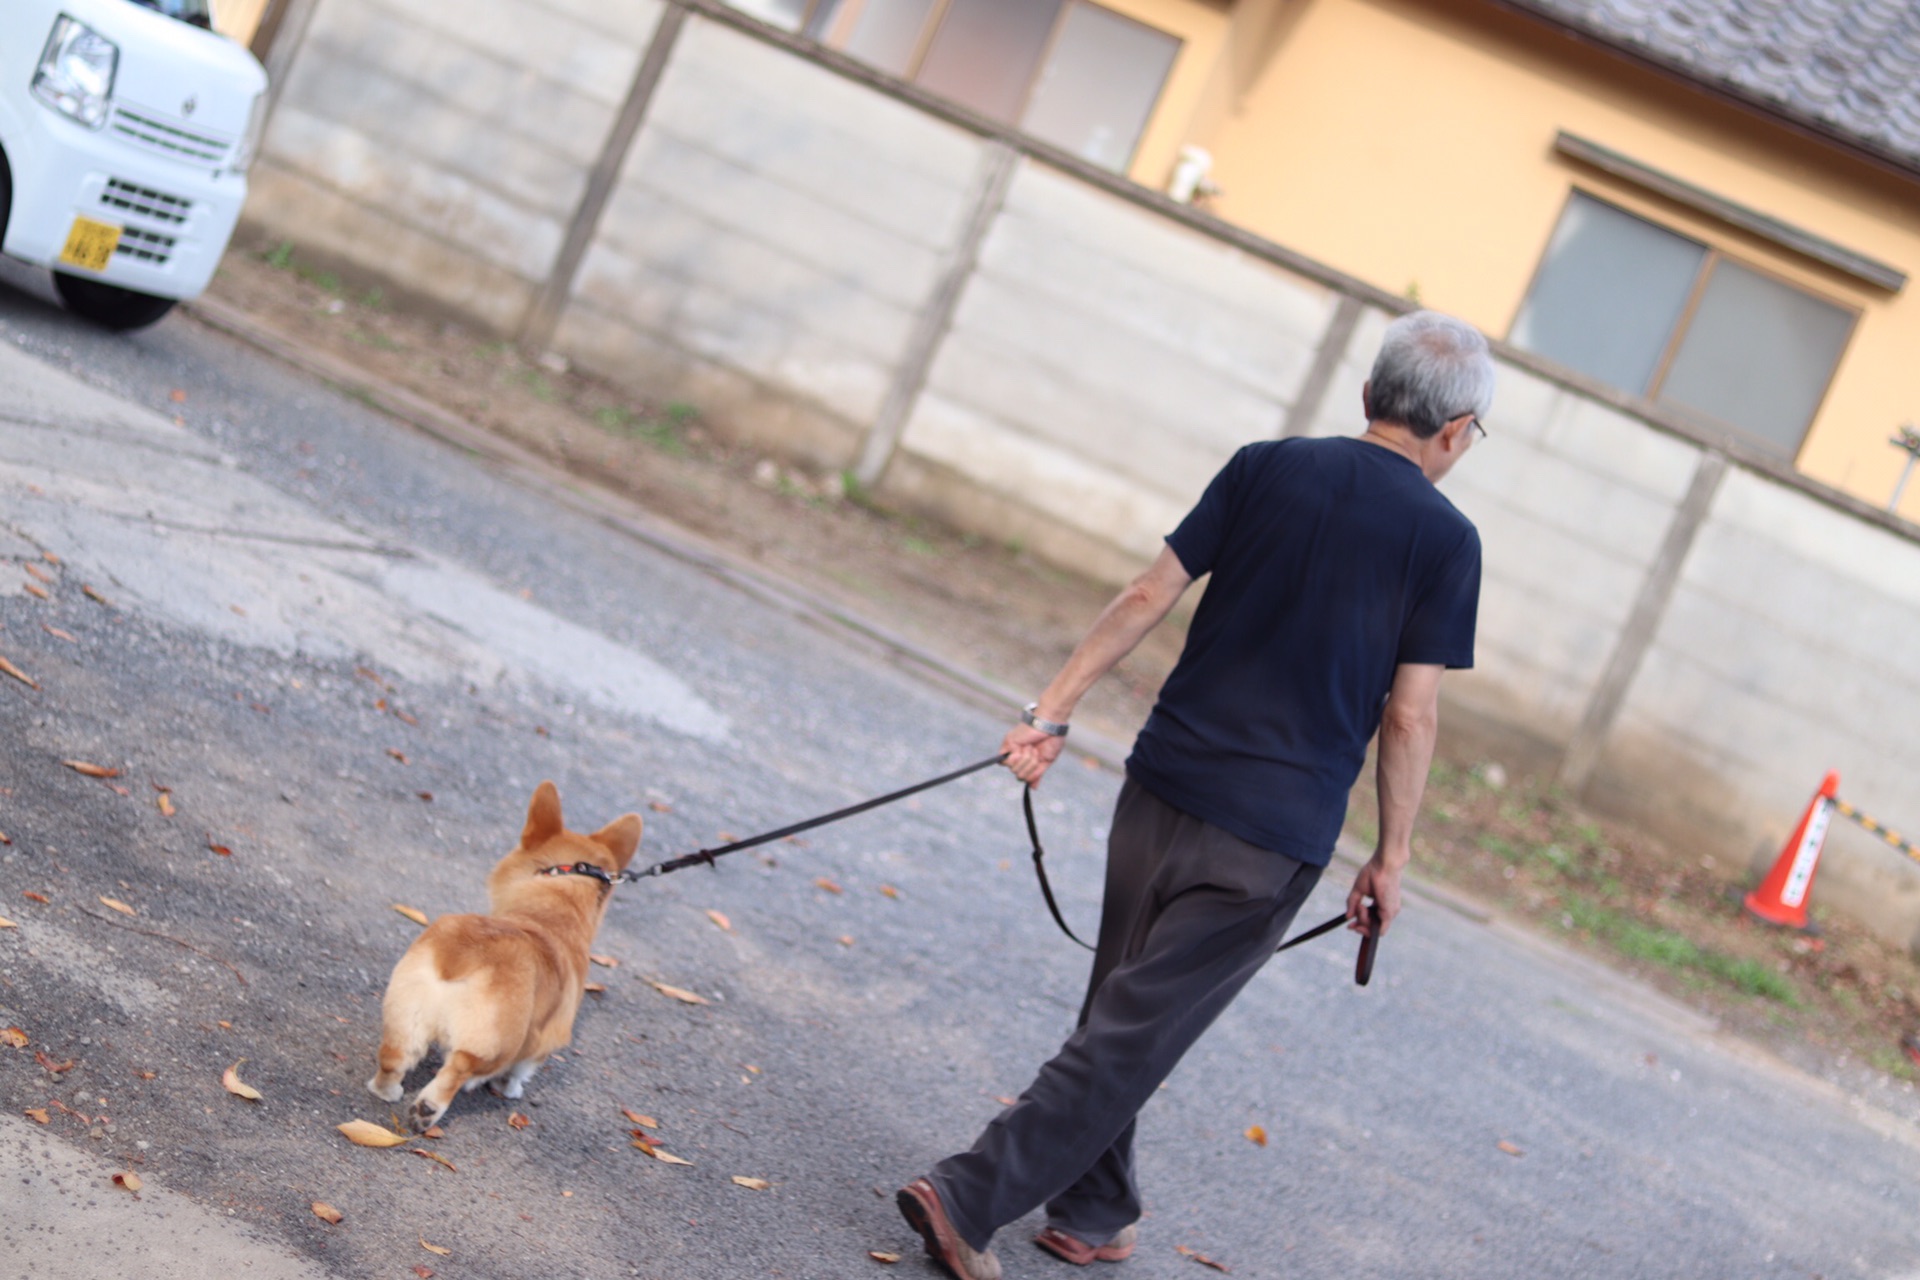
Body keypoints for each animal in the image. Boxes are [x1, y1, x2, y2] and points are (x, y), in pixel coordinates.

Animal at [366, 782, 645, 1128]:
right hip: (493, 1042)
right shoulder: (545, 1040)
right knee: (459, 1069)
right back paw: (428, 1109)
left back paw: (385, 1091)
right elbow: (522, 1070)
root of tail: (463, 954)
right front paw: (510, 1089)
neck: (551, 910)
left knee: (394, 1057)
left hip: (404, 1013)